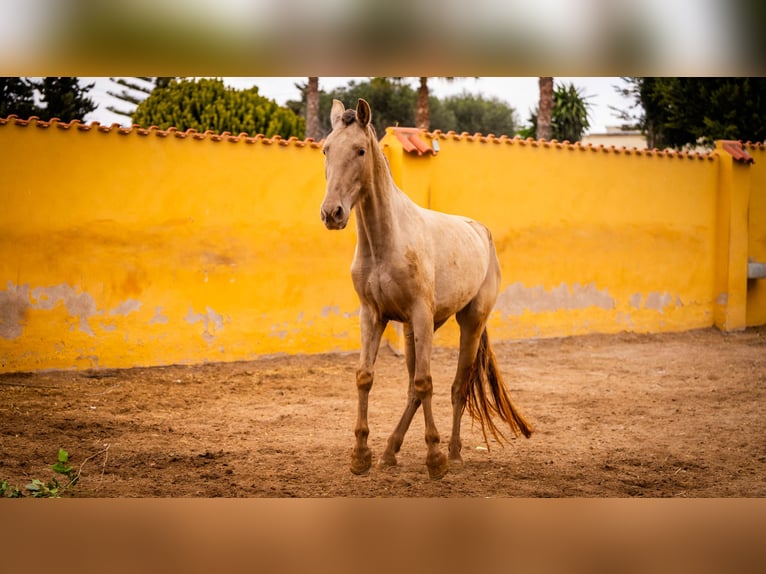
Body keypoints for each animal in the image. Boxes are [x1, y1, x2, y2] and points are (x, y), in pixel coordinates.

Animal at [320, 98, 533, 479]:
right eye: (326, 149)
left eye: (360, 150)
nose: (332, 213)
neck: (385, 242)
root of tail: (482, 232)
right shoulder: (372, 315)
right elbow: (366, 377)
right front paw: (361, 455)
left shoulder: (420, 314)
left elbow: (427, 382)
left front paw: (435, 459)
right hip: (414, 330)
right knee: (412, 390)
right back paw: (390, 450)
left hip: (469, 324)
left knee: (457, 387)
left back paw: (453, 452)